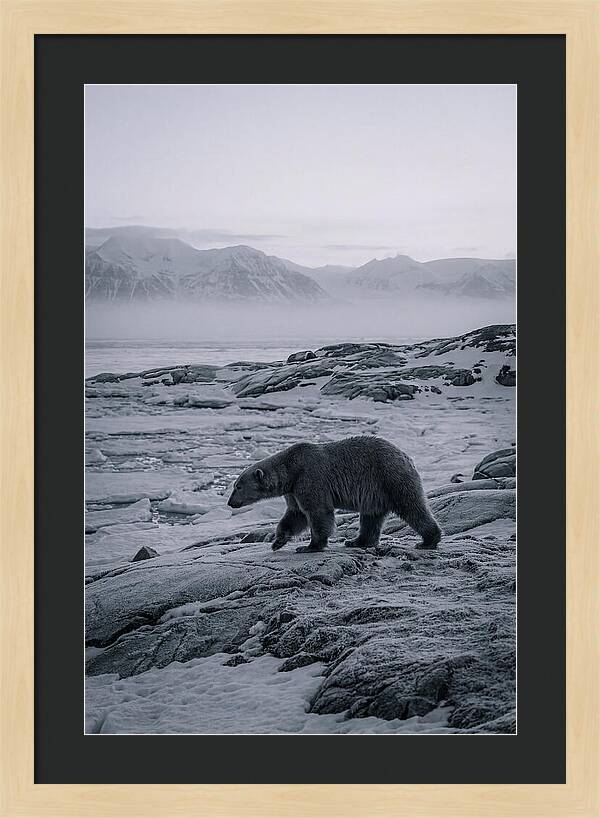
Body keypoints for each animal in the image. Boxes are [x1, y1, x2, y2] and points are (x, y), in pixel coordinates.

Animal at [227, 435, 441, 553]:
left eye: (238, 486)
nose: (230, 503)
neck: (291, 469)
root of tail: (406, 456)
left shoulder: (310, 478)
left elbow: (317, 512)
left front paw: (310, 546)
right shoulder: (294, 490)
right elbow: (295, 514)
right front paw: (277, 541)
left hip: (390, 478)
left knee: (412, 507)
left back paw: (428, 540)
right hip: (375, 492)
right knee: (371, 517)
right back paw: (356, 541)